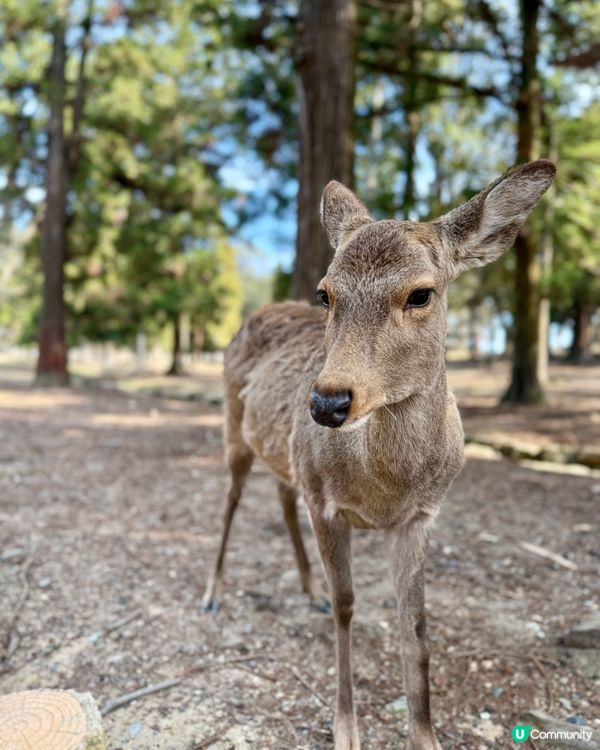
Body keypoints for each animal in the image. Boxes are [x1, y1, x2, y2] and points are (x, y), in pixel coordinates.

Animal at [202, 159, 556, 750]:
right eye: (325, 294)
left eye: (421, 294)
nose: (327, 402)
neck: (387, 489)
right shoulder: (326, 504)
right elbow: (347, 607)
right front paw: (345, 729)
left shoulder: (420, 516)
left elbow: (415, 624)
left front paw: (426, 736)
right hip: (233, 425)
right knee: (229, 501)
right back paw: (213, 593)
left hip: (288, 457)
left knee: (282, 496)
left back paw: (307, 589)